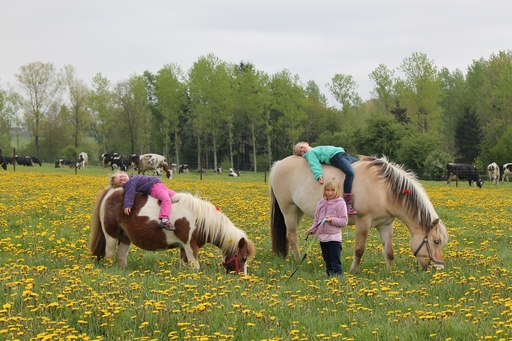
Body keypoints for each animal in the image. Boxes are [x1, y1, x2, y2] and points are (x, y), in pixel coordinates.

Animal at [90, 187, 256, 274]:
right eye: (243, 258)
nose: (242, 277)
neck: (199, 219)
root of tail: (110, 191)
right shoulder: (191, 246)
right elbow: (195, 266)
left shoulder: (183, 248)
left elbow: (184, 265)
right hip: (111, 236)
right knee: (110, 254)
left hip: (125, 238)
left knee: (121, 256)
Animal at [270, 155, 446, 272]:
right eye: (436, 241)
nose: (440, 267)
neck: (385, 190)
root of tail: (278, 165)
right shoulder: (364, 221)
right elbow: (359, 249)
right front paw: (353, 271)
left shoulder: (386, 224)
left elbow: (389, 251)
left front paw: (390, 272)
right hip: (288, 209)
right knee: (292, 236)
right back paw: (298, 260)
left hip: (297, 211)